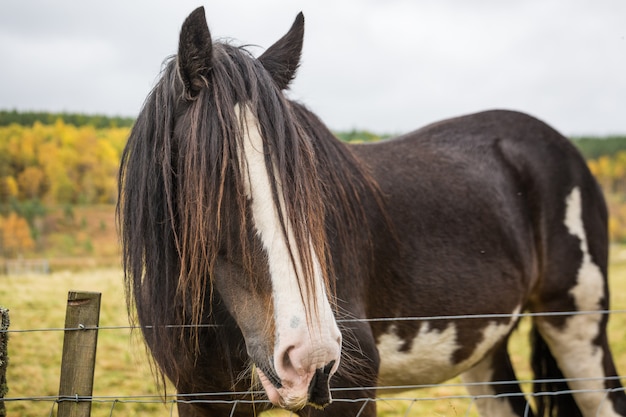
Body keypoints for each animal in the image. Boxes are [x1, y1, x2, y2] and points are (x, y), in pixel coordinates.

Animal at [118, 6, 624, 416]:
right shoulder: (203, 399)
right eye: (215, 176)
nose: (310, 359)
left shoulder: (349, 393)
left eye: (309, 177)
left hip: (577, 328)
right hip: (484, 350)